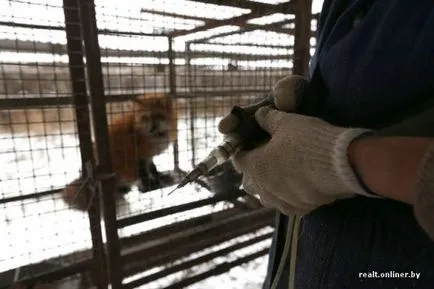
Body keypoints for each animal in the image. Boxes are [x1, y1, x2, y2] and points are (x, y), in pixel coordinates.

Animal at [0, 0, 318, 288]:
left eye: (159, 117)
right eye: (145, 118)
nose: (153, 127)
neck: (152, 138)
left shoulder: (150, 155)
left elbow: (153, 170)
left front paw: (162, 180)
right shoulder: (139, 155)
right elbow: (146, 175)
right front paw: (155, 183)